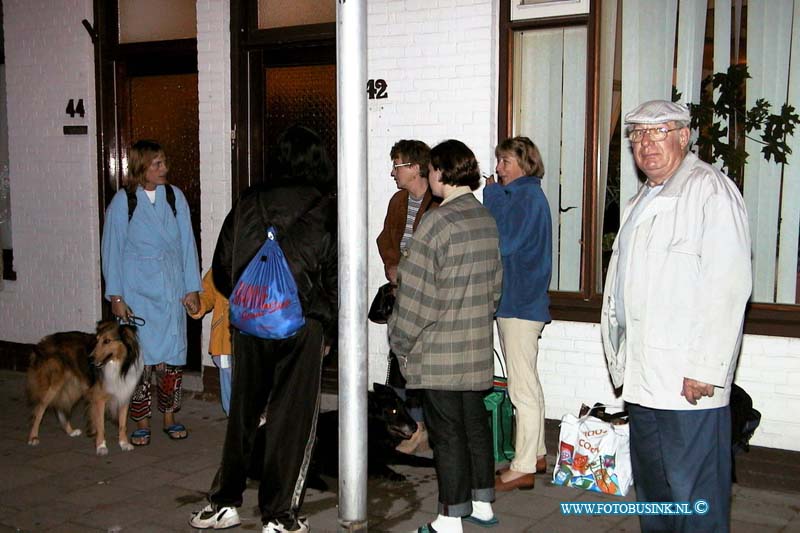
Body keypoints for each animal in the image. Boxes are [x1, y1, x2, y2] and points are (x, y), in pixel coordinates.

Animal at [25, 318, 143, 456]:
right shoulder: (99, 397)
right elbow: (100, 425)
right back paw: (33, 437)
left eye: (107, 341)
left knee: (59, 406)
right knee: (39, 409)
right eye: (97, 340)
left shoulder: (123, 395)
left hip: (74, 387)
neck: (117, 365)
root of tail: (42, 343)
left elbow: (123, 424)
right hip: (54, 384)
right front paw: (101, 446)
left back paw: (70, 431)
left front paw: (124, 443)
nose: (90, 358)